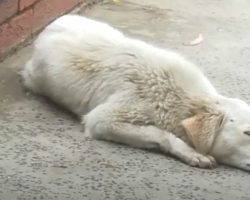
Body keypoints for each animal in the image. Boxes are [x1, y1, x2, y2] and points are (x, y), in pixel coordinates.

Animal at [21, 14, 250, 171]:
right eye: (247, 132)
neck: (183, 101)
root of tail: (55, 22)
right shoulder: (103, 119)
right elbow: (159, 133)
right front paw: (190, 152)